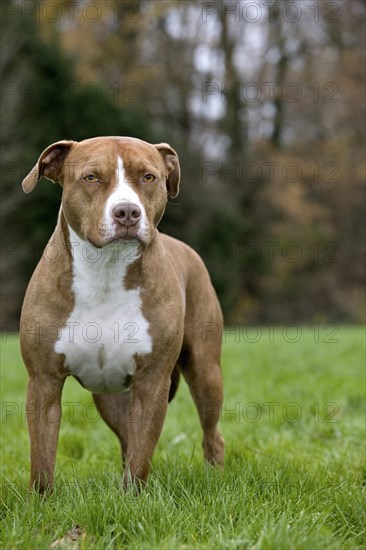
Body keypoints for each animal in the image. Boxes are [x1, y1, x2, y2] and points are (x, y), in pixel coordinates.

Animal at [21, 137, 224, 492]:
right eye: (91, 177)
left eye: (148, 177)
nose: (127, 211)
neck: (105, 269)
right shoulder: (43, 381)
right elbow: (43, 458)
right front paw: (41, 500)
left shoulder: (152, 381)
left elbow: (142, 454)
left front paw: (133, 498)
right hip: (111, 397)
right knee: (126, 437)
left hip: (205, 370)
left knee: (211, 432)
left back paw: (215, 475)